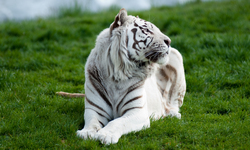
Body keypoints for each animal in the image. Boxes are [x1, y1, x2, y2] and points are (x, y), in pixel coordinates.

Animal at [58, 8, 186, 145]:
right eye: (147, 30)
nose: (169, 41)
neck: (117, 76)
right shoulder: (95, 109)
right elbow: (92, 122)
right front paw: (86, 133)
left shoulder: (137, 112)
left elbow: (118, 122)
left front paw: (106, 135)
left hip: (176, 55)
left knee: (172, 103)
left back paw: (172, 114)